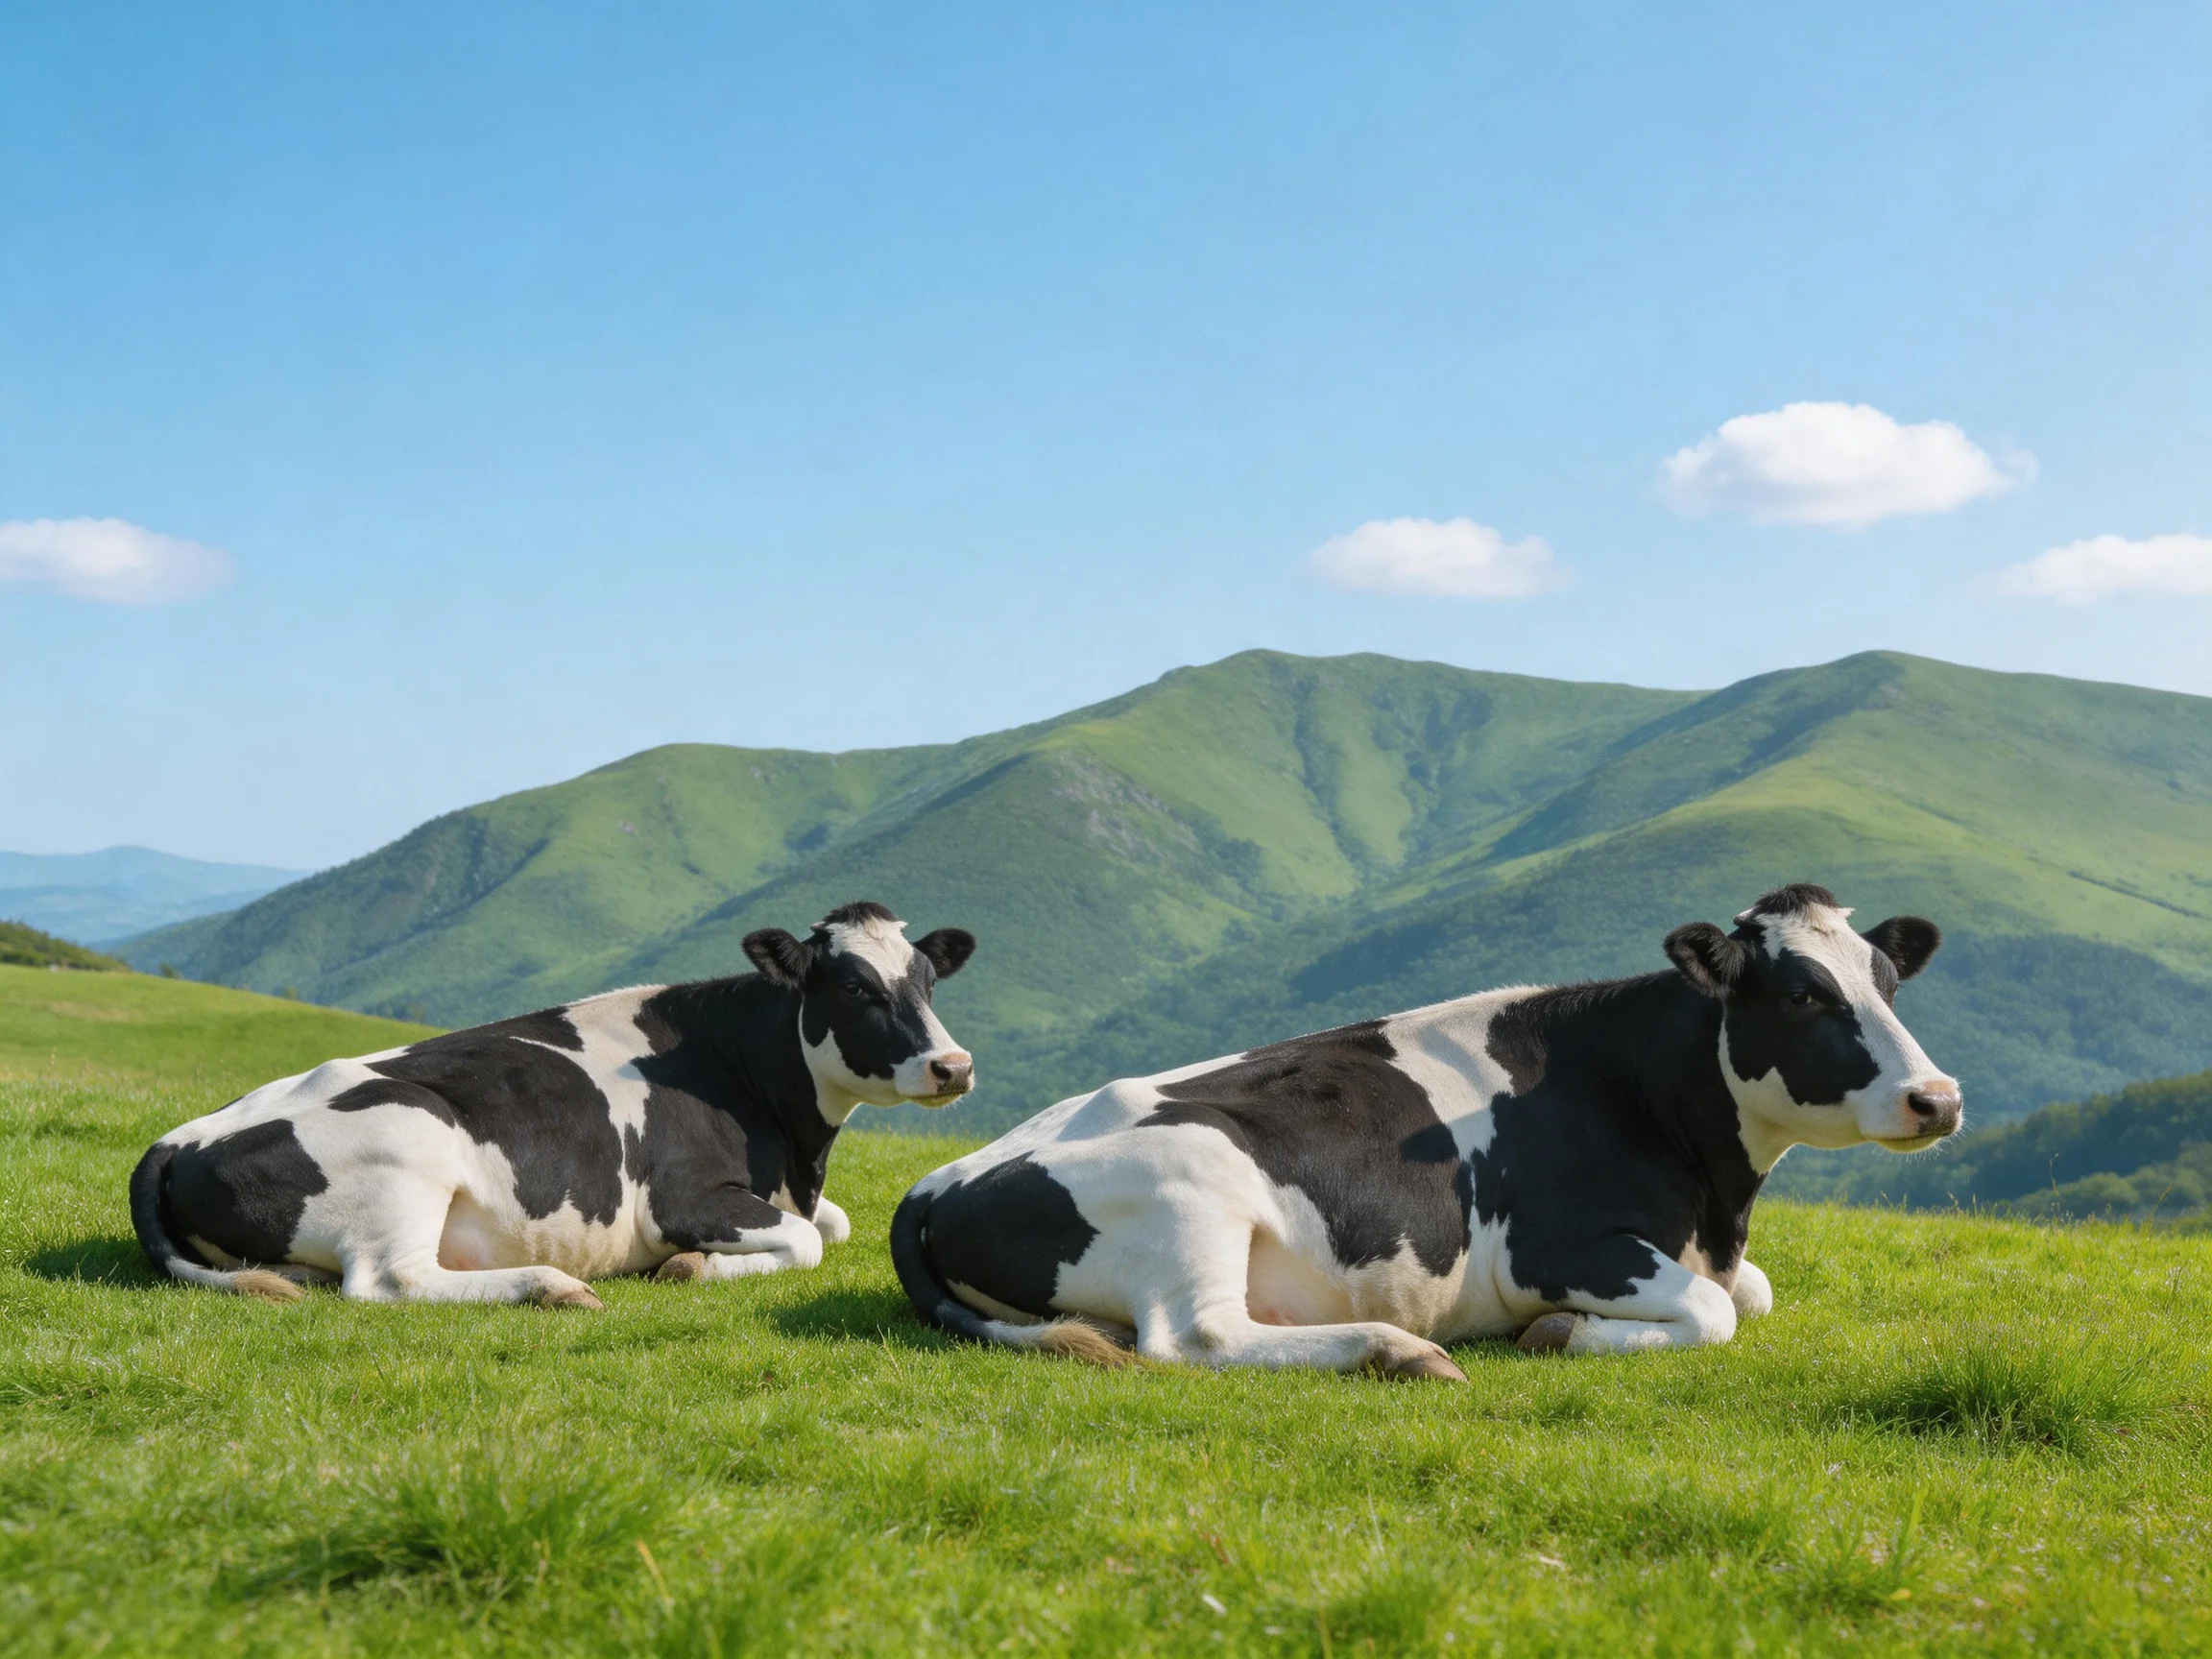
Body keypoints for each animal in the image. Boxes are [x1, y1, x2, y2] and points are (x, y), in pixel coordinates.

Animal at [131, 902, 975, 1307]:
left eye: (928, 982)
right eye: (856, 989)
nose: (953, 1065)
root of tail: (181, 1136)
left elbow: (834, 1223)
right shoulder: (680, 1198)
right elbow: (804, 1240)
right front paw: (690, 1267)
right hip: (409, 1143)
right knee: (391, 1280)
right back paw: (552, 1286)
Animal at [891, 884, 1958, 1376]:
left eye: (1888, 983)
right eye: (1802, 995)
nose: (1938, 1098)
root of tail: (936, 1180)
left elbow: (1754, 1293)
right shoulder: (1555, 1247)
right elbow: (1714, 1310)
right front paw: (1561, 1332)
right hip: (1191, 1178)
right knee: (1196, 1336)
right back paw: (1396, 1349)